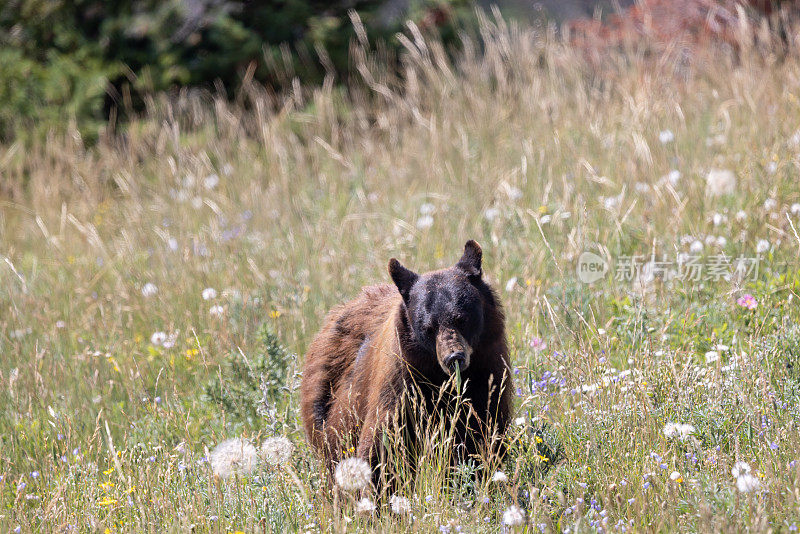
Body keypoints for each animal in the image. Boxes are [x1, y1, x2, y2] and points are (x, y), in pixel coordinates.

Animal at [300, 242, 512, 490]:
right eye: (428, 327)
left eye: (462, 318)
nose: (454, 358)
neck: (438, 376)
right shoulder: (401, 378)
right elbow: (382, 440)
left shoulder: (487, 370)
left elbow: (484, 428)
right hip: (327, 412)